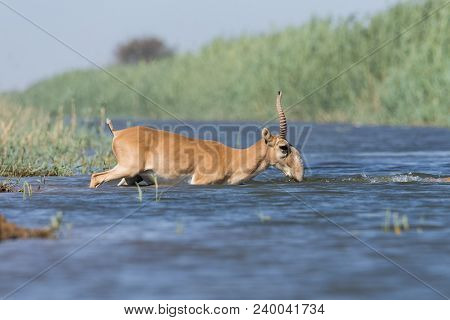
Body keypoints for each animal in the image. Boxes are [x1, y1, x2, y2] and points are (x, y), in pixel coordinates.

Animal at [89, 91, 304, 188]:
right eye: (284, 147)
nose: (299, 175)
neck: (233, 158)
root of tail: (118, 132)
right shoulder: (199, 181)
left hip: (131, 177)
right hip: (127, 169)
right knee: (96, 177)